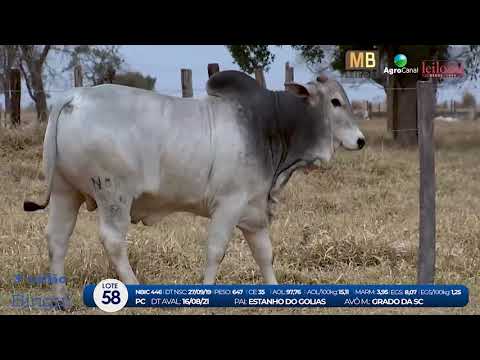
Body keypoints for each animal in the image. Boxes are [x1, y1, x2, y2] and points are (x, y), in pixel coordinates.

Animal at [23, 71, 364, 310]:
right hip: (114, 196)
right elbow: (215, 251)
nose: (361, 141)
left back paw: (61, 299)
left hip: (66, 193)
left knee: (57, 240)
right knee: (113, 241)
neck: (269, 124)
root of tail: (74, 97)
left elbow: (265, 254)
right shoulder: (228, 205)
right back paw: (133, 289)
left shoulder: (254, 210)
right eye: (335, 102)